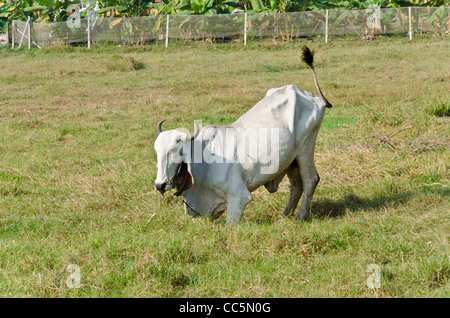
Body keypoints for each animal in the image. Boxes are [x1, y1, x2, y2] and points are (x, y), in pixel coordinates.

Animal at [153, 46, 332, 224]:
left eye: (177, 151)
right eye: (157, 152)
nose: (159, 185)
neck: (204, 164)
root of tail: (311, 96)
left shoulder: (238, 197)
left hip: (305, 148)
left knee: (311, 180)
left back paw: (300, 216)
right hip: (291, 159)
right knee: (296, 185)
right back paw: (283, 216)